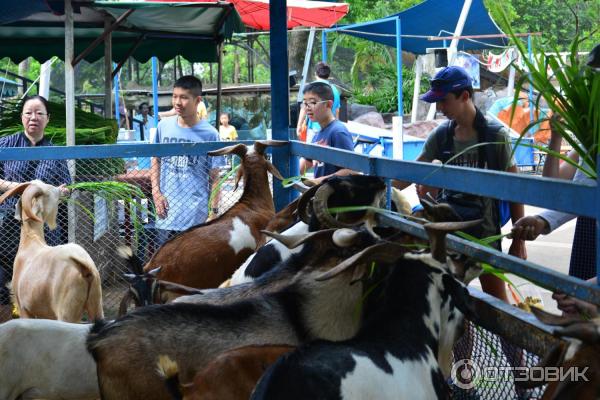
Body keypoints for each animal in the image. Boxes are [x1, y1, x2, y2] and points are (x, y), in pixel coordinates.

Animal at [0, 181, 103, 322]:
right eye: (48, 191)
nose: (64, 189)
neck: (31, 241)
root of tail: (86, 269)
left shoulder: (24, 309)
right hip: (96, 305)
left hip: (66, 312)